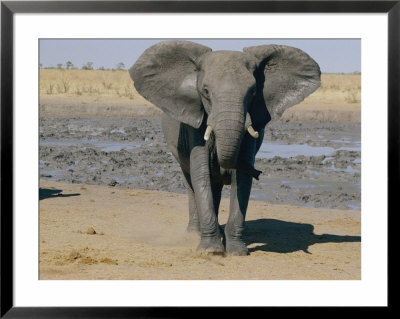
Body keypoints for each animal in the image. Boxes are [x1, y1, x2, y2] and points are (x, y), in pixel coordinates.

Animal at [131, 40, 322, 255]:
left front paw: (237, 251)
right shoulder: (195, 125)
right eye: (205, 92)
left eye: (253, 92)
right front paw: (211, 251)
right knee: (191, 183)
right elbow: (201, 174)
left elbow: (242, 181)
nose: (259, 172)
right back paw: (193, 234)